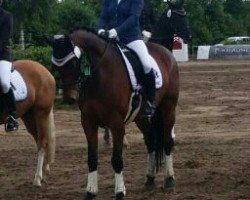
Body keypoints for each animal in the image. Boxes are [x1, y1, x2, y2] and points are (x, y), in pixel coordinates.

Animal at [47, 27, 179, 199]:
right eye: (55, 66)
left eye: (74, 62)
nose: (70, 98)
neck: (99, 75)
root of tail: (166, 52)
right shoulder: (88, 122)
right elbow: (92, 158)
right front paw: (90, 192)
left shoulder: (116, 124)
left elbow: (116, 160)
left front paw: (120, 192)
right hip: (141, 118)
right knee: (151, 141)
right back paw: (149, 179)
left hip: (168, 108)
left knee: (167, 140)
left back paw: (169, 179)